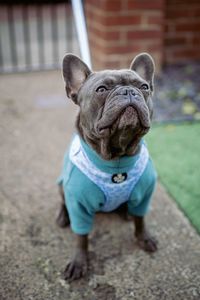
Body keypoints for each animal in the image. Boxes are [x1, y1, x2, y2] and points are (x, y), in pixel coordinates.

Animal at [55, 52, 158, 282]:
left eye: (144, 87)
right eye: (101, 89)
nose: (128, 91)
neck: (116, 159)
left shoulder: (145, 195)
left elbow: (141, 219)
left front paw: (144, 238)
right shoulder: (78, 205)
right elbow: (81, 236)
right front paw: (79, 262)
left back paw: (126, 211)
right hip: (61, 186)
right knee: (63, 202)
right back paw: (62, 217)